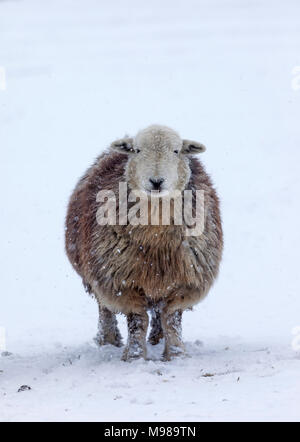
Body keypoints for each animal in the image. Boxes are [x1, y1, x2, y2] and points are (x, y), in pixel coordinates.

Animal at [65, 124, 223, 360]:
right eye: (137, 150)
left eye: (176, 151)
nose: (156, 181)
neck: (156, 237)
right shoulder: (120, 281)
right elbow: (137, 321)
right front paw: (135, 355)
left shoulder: (186, 279)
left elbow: (171, 318)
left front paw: (176, 353)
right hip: (96, 273)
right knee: (105, 309)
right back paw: (107, 339)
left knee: (158, 312)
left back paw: (157, 339)